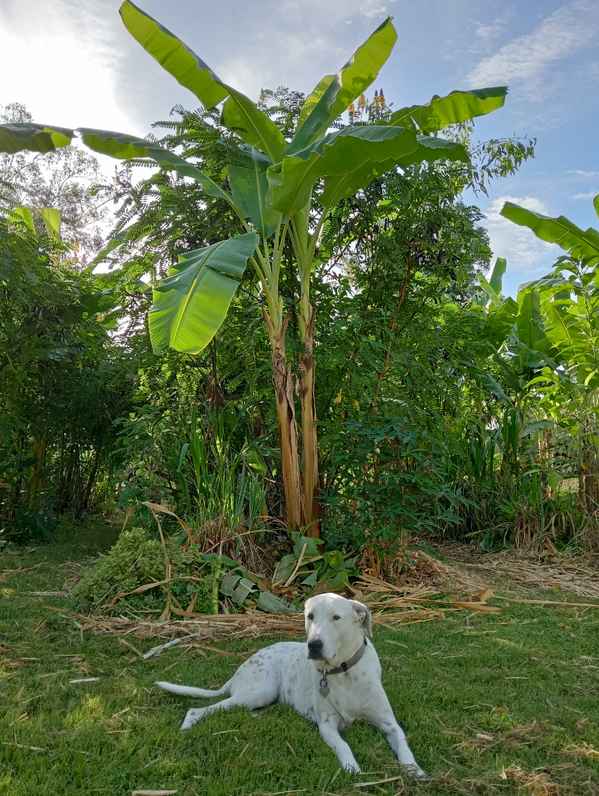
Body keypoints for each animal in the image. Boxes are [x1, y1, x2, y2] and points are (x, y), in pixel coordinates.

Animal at [155, 592, 426, 776]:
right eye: (310, 616)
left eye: (336, 618)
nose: (313, 645)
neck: (344, 671)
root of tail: (240, 668)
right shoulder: (327, 726)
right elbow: (343, 746)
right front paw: (352, 767)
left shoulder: (389, 723)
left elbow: (404, 746)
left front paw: (415, 771)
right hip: (260, 690)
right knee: (202, 709)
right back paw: (189, 724)